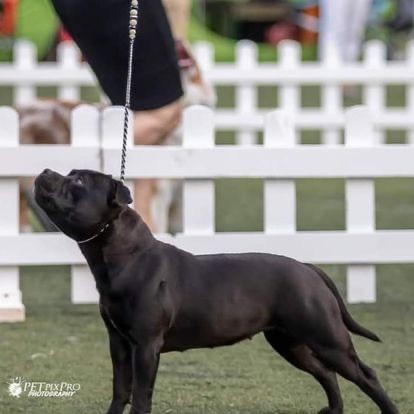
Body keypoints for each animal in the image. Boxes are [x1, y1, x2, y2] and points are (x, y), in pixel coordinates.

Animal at [34, 169, 398, 414]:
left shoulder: (145, 346)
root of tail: (309, 268)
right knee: (326, 373)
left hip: (327, 337)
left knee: (365, 375)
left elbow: (140, 395)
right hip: (289, 342)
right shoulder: (119, 343)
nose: (46, 171)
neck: (127, 256)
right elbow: (120, 391)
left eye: (79, 182)